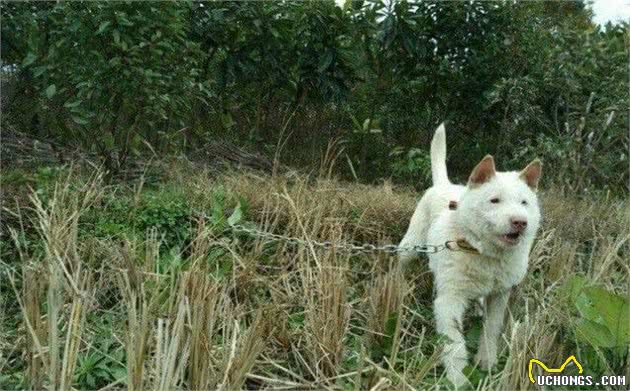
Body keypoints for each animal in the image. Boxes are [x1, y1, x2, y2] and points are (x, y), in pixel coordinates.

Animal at [400, 124, 544, 388]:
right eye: (494, 200)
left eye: (524, 202)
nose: (520, 222)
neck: (484, 252)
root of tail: (444, 184)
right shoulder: (449, 301)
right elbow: (454, 344)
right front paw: (458, 379)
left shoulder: (500, 294)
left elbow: (492, 328)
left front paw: (486, 360)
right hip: (410, 247)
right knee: (401, 265)